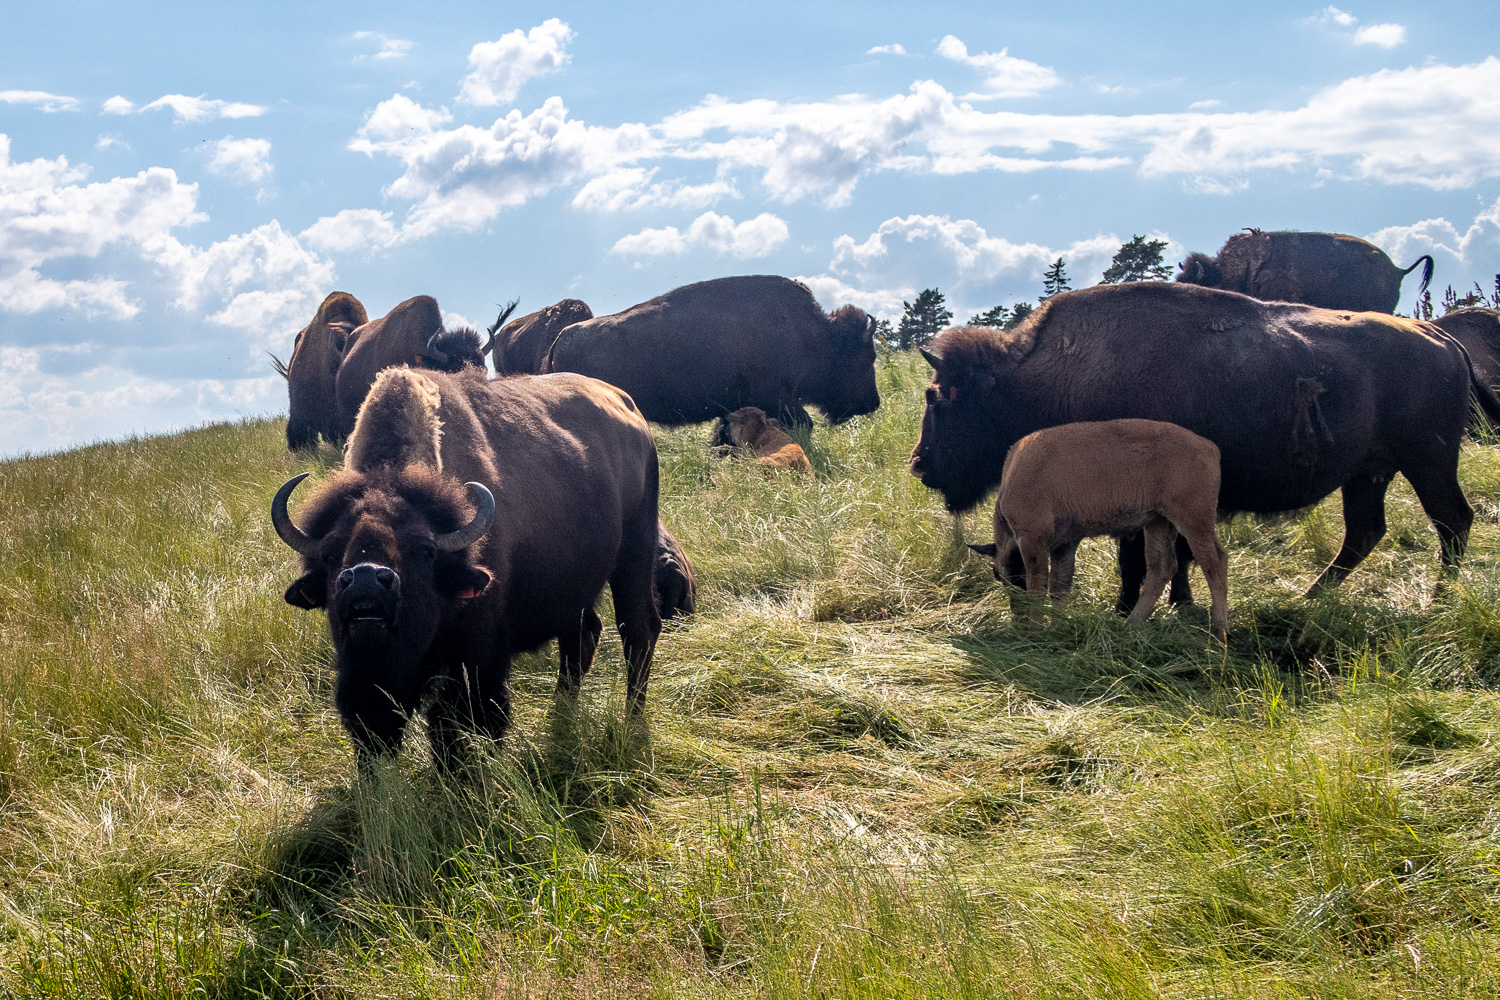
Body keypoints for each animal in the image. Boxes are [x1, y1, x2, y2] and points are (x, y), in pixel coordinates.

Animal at [276, 367, 663, 767]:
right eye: (329, 554)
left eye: (426, 551)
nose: (365, 579)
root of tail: (630, 411)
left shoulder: (477, 655)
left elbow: (463, 719)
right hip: (577, 589)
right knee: (582, 636)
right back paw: (563, 714)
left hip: (636, 550)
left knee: (637, 630)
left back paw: (632, 723)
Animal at [900, 281, 1500, 611]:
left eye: (939, 400)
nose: (919, 465)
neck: (1038, 377)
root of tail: (1444, 340)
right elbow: (1174, 555)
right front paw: (1178, 604)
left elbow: (1137, 558)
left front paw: (1129, 608)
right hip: (1369, 473)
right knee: (1366, 532)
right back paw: (1310, 598)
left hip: (1428, 463)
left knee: (1452, 521)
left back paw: (1437, 601)